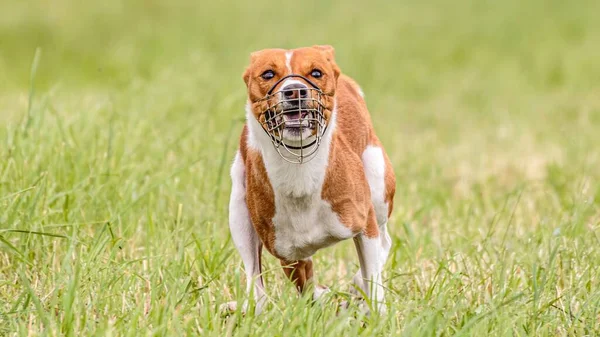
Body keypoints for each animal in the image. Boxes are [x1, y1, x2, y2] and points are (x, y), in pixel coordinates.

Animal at [227, 44, 396, 312]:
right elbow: (302, 279)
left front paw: (376, 312)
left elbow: (372, 276)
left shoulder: (365, 224)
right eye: (267, 74)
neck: (300, 169)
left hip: (377, 184)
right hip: (238, 212)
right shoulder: (288, 251)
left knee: (384, 242)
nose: (295, 89)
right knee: (255, 276)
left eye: (316, 72)